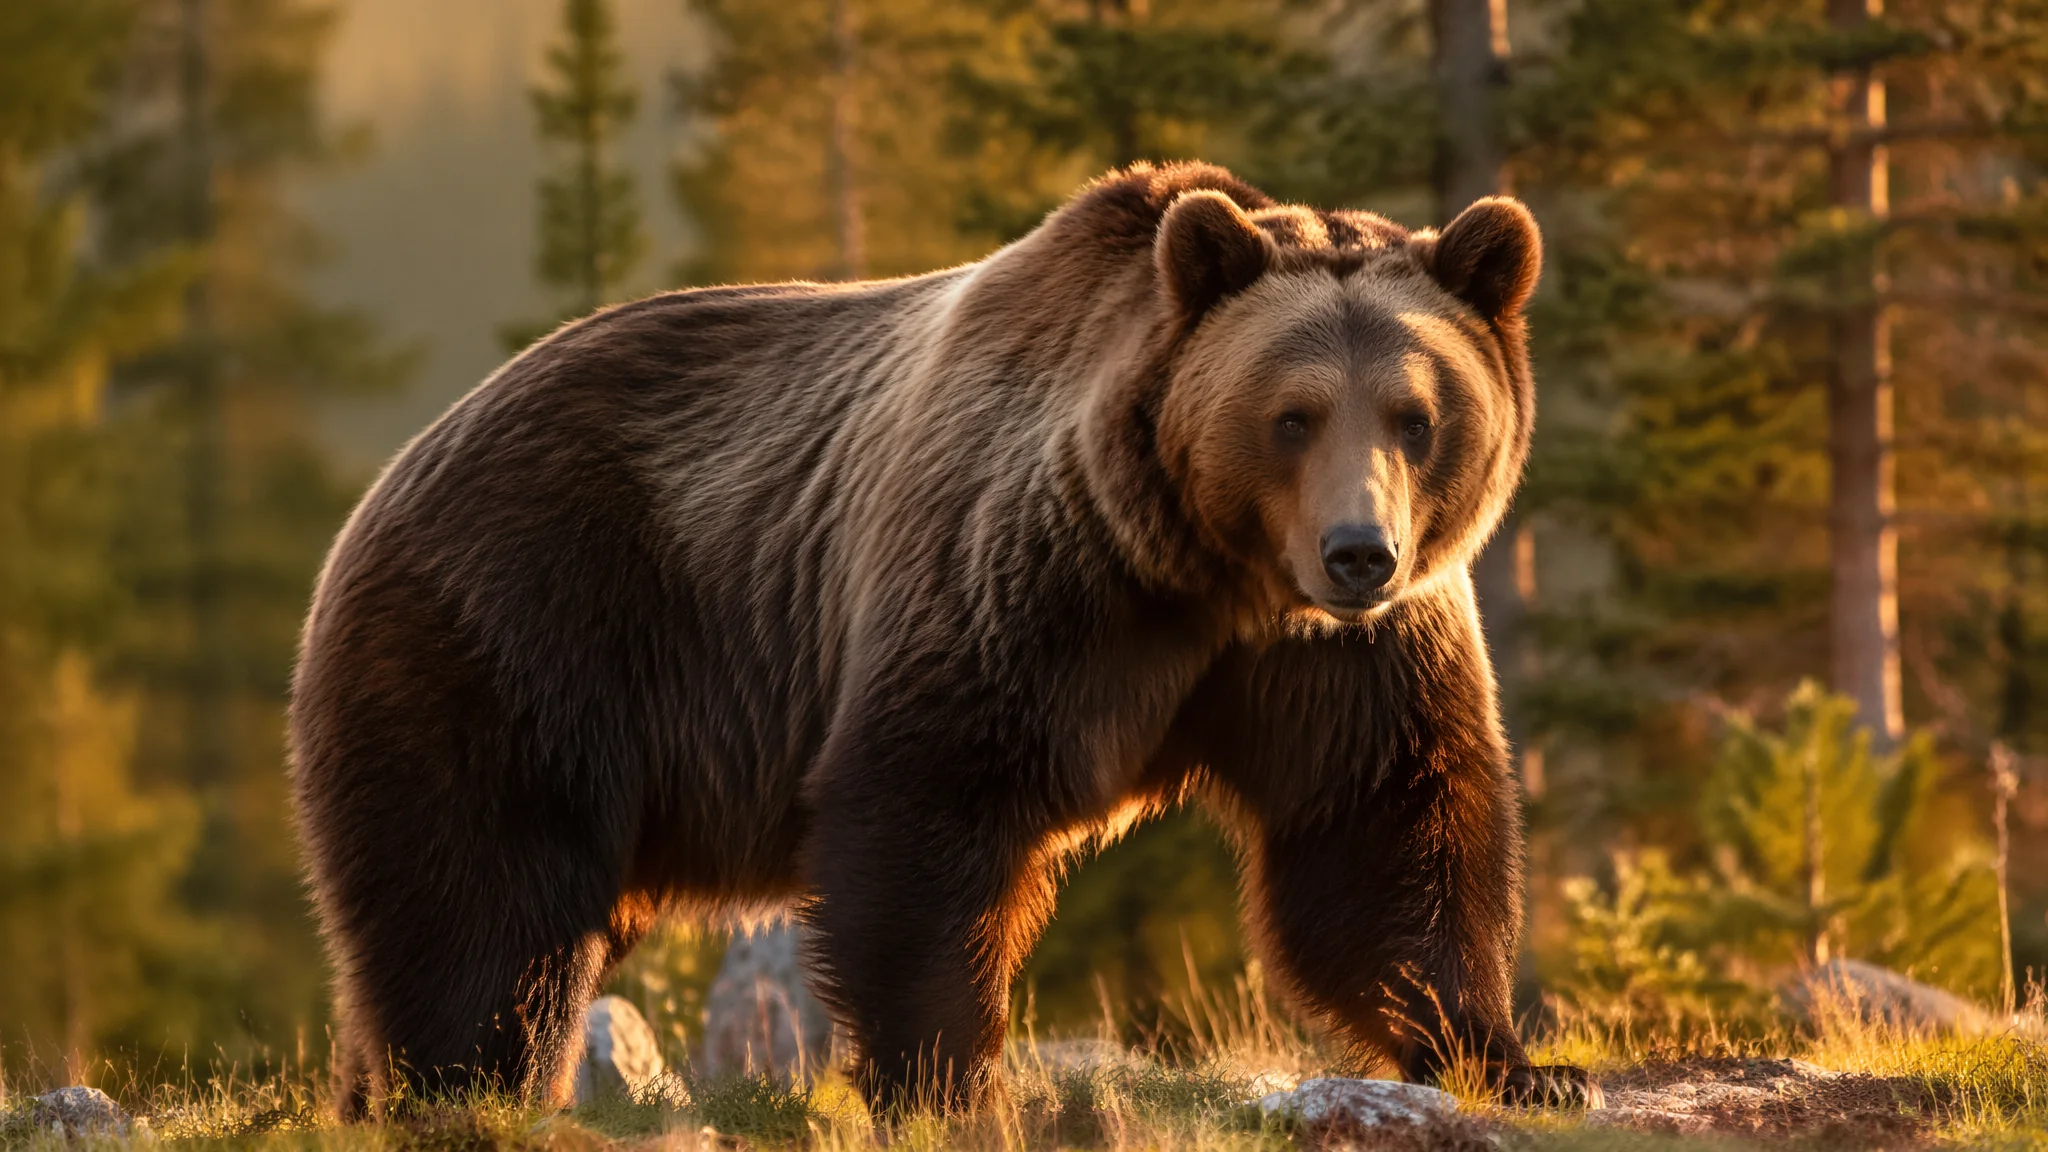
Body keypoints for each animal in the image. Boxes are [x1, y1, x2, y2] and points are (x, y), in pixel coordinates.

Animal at [288, 161, 1593, 1119]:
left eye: (1416, 416)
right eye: (1292, 415)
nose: (1356, 553)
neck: (1203, 569)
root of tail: (405, 460)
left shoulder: (1333, 659)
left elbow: (1381, 828)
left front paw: (1511, 1062)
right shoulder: (1025, 577)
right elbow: (926, 808)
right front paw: (946, 1081)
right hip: (522, 632)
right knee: (487, 900)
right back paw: (464, 1089)